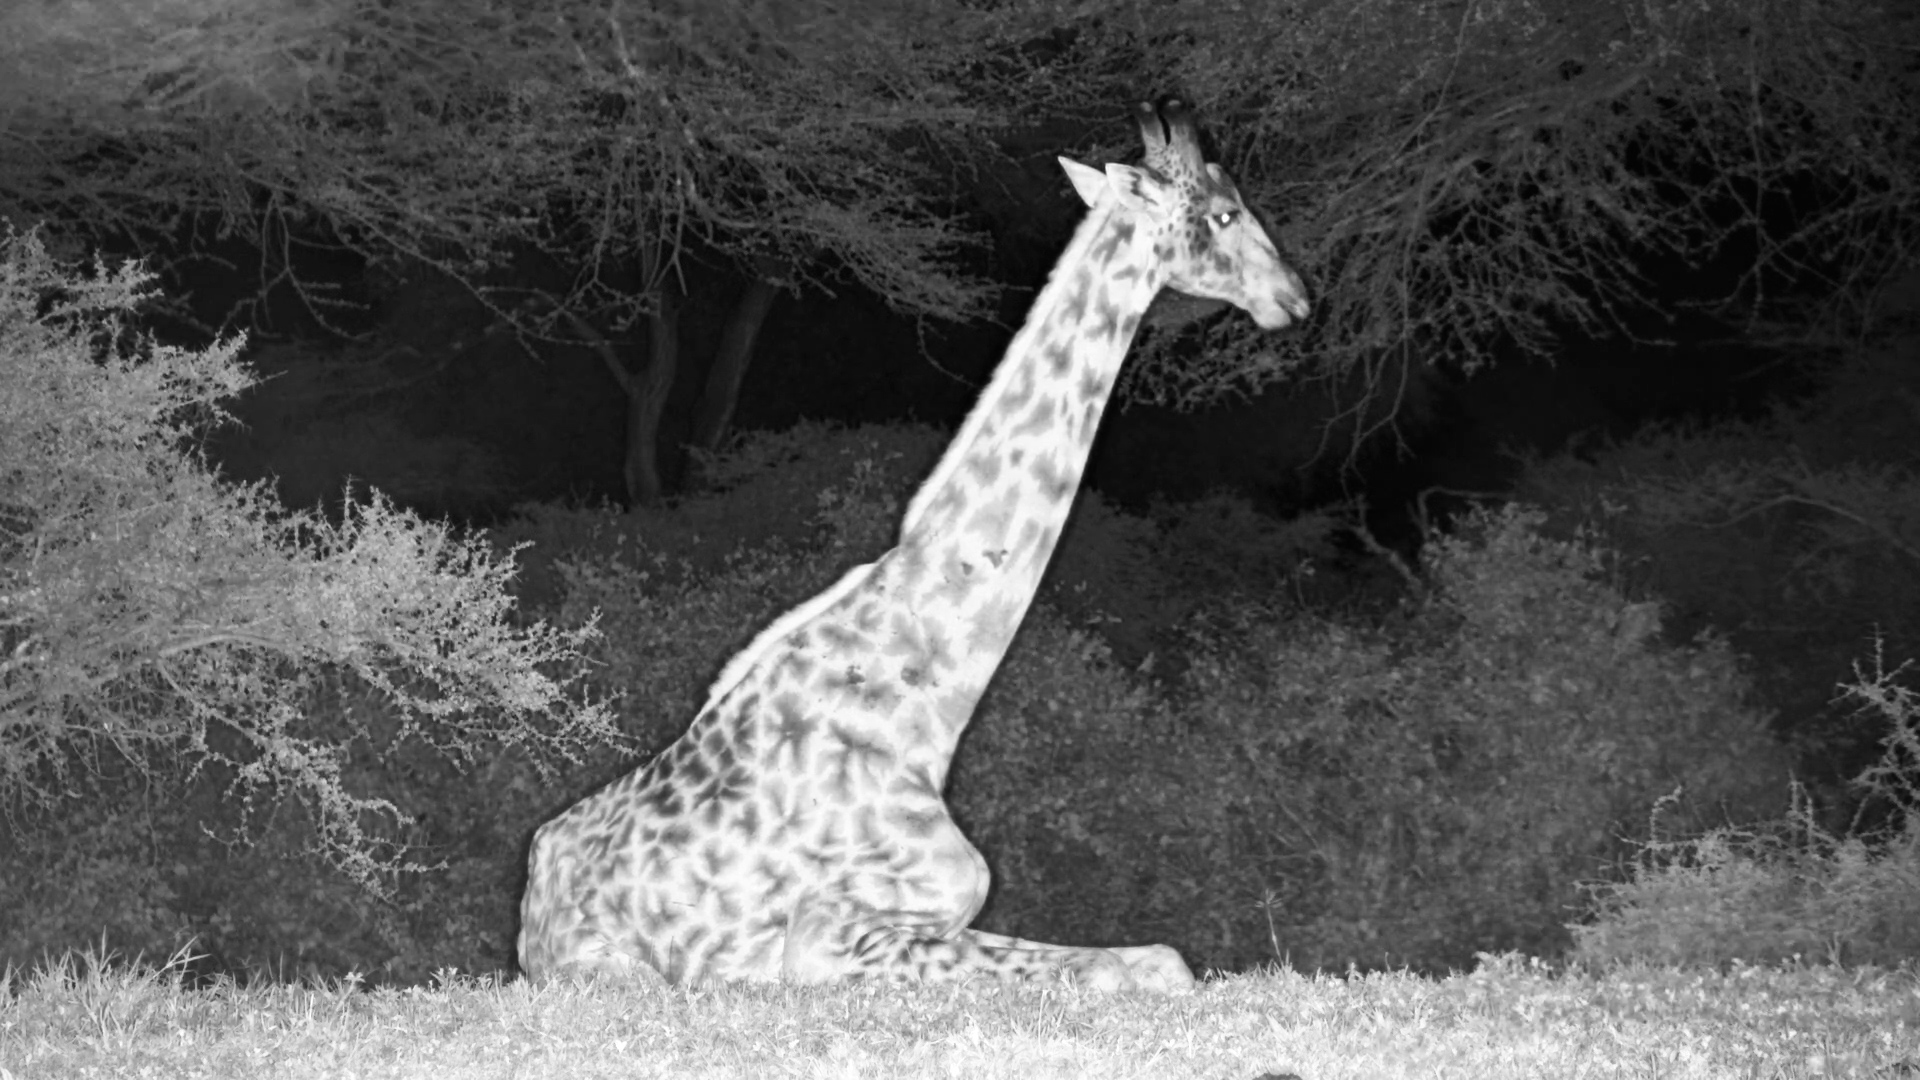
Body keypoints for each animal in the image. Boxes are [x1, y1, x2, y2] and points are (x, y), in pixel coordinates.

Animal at [518, 100, 1310, 992]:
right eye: (1224, 214)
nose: (1294, 296)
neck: (928, 699)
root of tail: (530, 912)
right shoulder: (829, 939)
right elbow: (1161, 962)